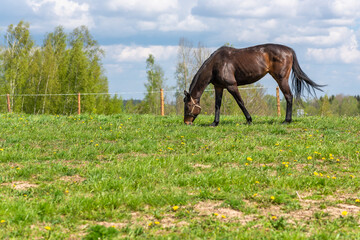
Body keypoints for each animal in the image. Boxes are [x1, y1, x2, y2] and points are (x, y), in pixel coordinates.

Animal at [184, 43, 324, 125]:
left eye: (188, 106)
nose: (186, 122)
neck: (216, 64)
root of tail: (289, 50)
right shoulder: (219, 87)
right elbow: (217, 105)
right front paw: (215, 123)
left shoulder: (231, 86)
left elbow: (240, 102)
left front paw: (249, 120)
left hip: (281, 79)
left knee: (289, 96)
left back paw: (286, 121)